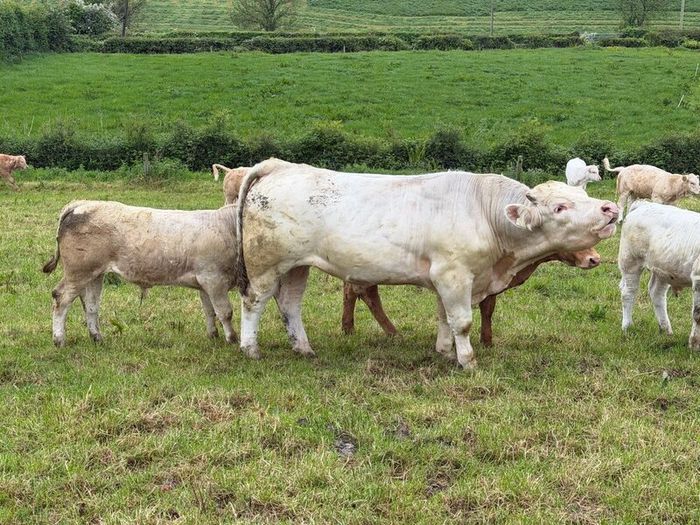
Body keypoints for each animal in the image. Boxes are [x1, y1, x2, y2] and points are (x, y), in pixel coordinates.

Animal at [43, 200, 242, 347]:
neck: (227, 226)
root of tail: (80, 204)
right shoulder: (215, 280)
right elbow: (225, 312)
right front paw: (232, 339)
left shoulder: (204, 282)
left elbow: (209, 311)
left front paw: (213, 335)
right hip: (78, 272)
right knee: (61, 297)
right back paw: (59, 340)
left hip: (94, 274)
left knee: (91, 305)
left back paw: (97, 337)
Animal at [342, 247, 601, 346]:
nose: (595, 258)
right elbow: (486, 308)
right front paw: (487, 341)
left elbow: (488, 308)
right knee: (364, 293)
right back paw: (387, 332)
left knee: (356, 293)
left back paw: (351, 328)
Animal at [618, 201, 700, 349]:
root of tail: (643, 204)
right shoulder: (698, 279)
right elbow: (698, 314)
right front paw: (695, 344)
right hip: (630, 261)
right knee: (628, 293)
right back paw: (627, 326)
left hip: (663, 269)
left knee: (656, 293)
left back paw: (666, 329)